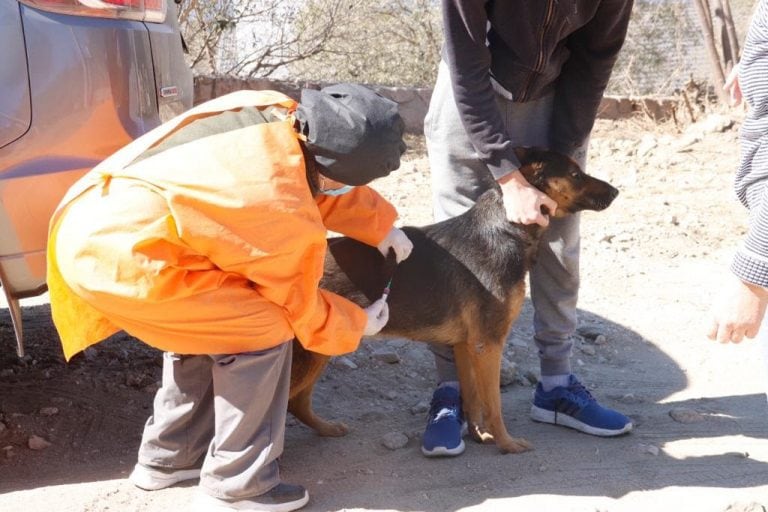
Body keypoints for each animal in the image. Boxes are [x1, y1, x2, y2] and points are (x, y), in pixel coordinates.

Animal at [288, 147, 616, 452]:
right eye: (575, 174)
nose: (616, 192)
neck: (504, 227)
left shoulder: (465, 345)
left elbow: (473, 399)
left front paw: (480, 435)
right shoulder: (489, 344)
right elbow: (493, 404)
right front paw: (507, 443)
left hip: (320, 351)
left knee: (297, 403)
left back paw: (326, 428)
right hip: (308, 356)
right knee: (288, 402)